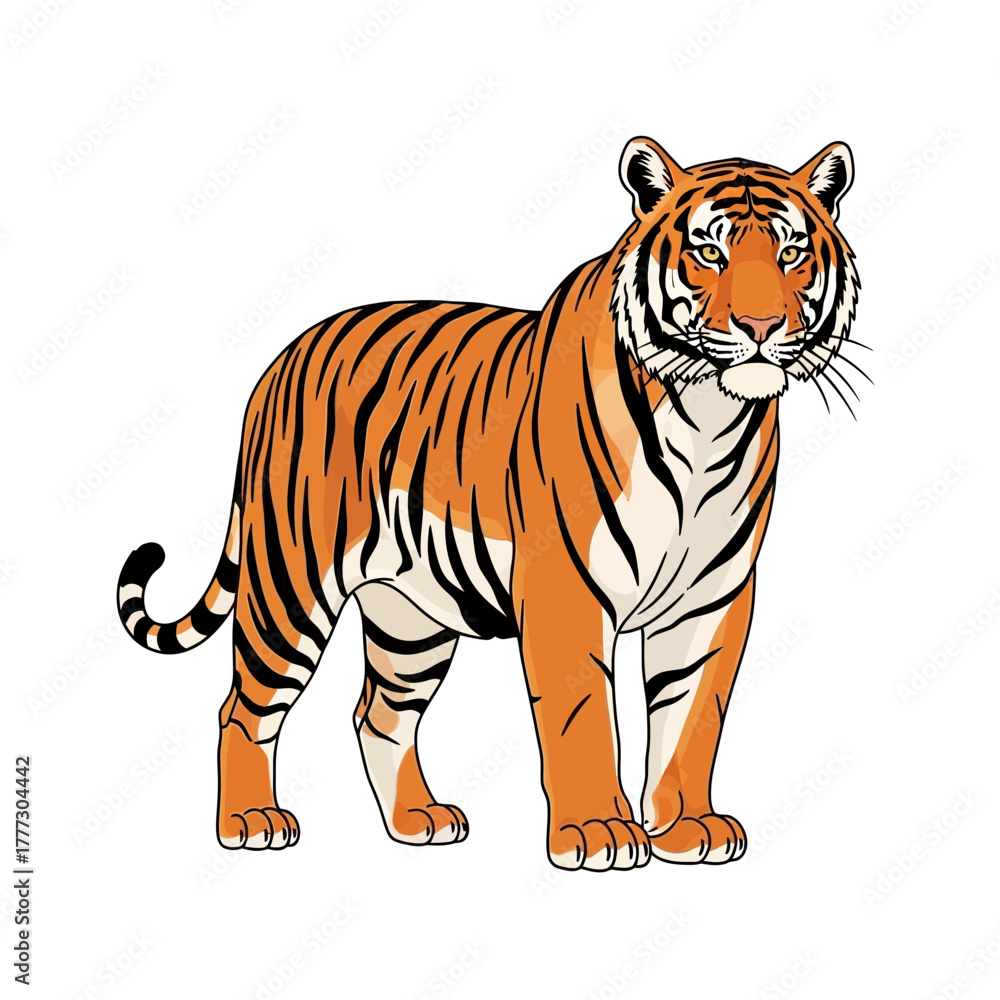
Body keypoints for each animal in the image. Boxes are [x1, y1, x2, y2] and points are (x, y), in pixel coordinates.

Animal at [117, 136, 860, 871]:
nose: (761, 326)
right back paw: (249, 821)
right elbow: (583, 713)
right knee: (243, 707)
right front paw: (598, 832)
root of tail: (280, 361)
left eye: (792, 253)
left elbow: (691, 716)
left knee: (378, 714)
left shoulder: (714, 596)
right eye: (709, 252)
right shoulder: (565, 584)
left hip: (410, 616)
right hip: (290, 584)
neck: (708, 419)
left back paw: (416, 819)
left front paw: (685, 828)